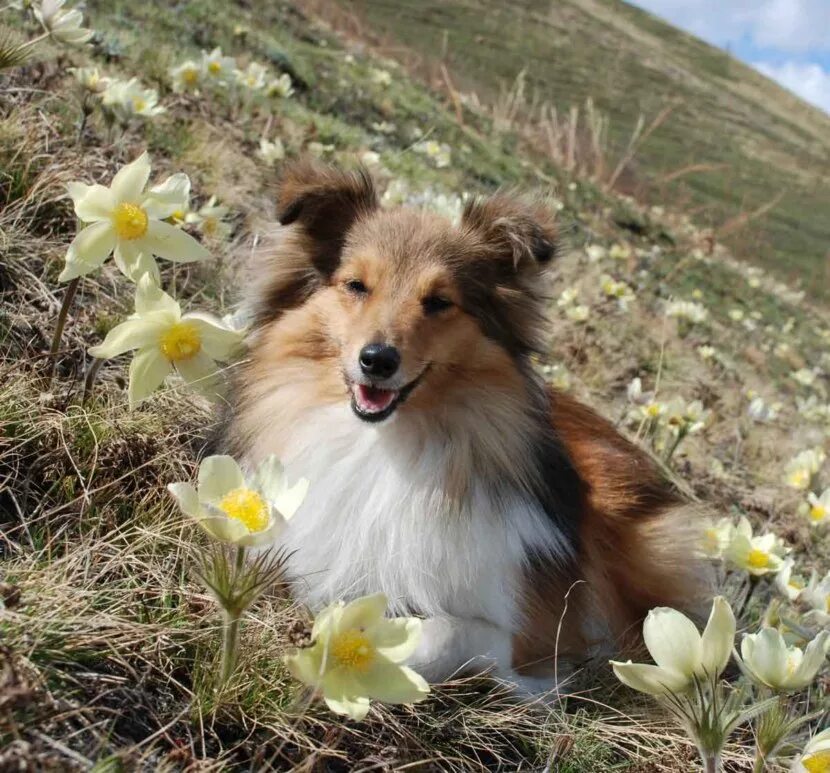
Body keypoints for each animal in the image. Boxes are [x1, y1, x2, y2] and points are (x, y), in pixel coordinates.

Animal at [219, 160, 708, 692]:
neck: (385, 445)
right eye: (356, 286)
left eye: (438, 302)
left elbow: (443, 633)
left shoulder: (530, 635)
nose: (377, 360)